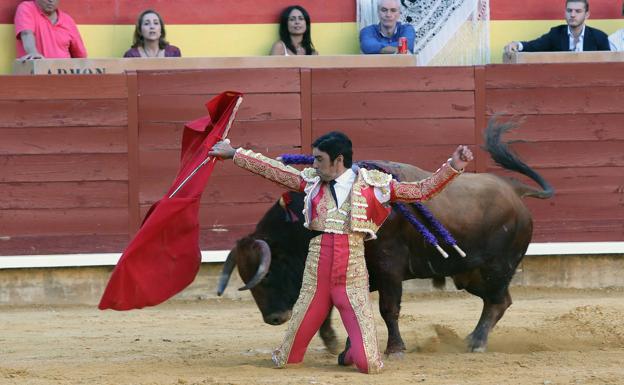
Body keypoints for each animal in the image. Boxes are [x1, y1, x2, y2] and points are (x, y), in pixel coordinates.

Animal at [217, 120, 552, 354]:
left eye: (269, 275)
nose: (274, 318)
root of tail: (514, 189)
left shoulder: (390, 267)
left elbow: (388, 309)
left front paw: (395, 348)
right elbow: (331, 307)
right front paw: (337, 344)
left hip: (497, 267)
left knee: (497, 301)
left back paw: (476, 342)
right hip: (469, 272)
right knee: (500, 300)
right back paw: (471, 339)